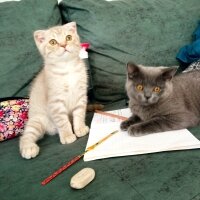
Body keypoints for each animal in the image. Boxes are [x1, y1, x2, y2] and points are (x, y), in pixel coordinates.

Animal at [19, 21, 88, 159]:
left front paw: (80, 128)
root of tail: (51, 130)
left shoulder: (81, 96)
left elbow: (79, 114)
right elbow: (63, 121)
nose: (63, 45)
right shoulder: (55, 102)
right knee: (27, 135)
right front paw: (67, 135)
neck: (67, 68)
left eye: (68, 37)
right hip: (37, 121)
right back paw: (29, 148)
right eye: (52, 42)